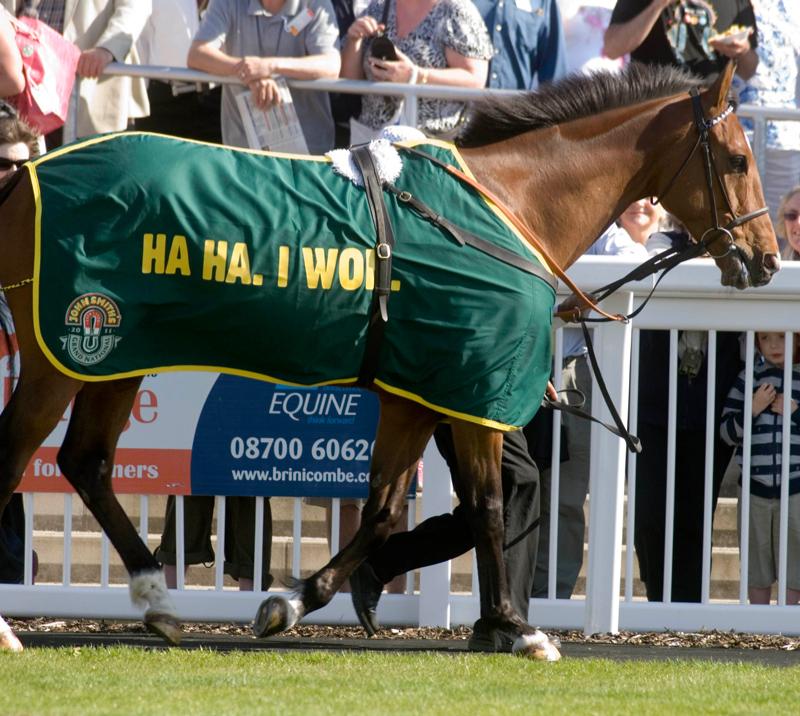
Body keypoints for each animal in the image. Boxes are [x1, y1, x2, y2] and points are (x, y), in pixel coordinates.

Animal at [0, 61, 778, 657]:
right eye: (739, 160)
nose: (766, 257)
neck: (506, 207)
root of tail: (26, 173)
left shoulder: (418, 398)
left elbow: (382, 510)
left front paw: (294, 600)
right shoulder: (474, 394)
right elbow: (488, 506)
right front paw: (519, 627)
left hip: (116, 361)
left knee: (87, 463)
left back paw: (158, 603)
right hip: (64, 354)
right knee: (18, 459)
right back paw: (17, 629)